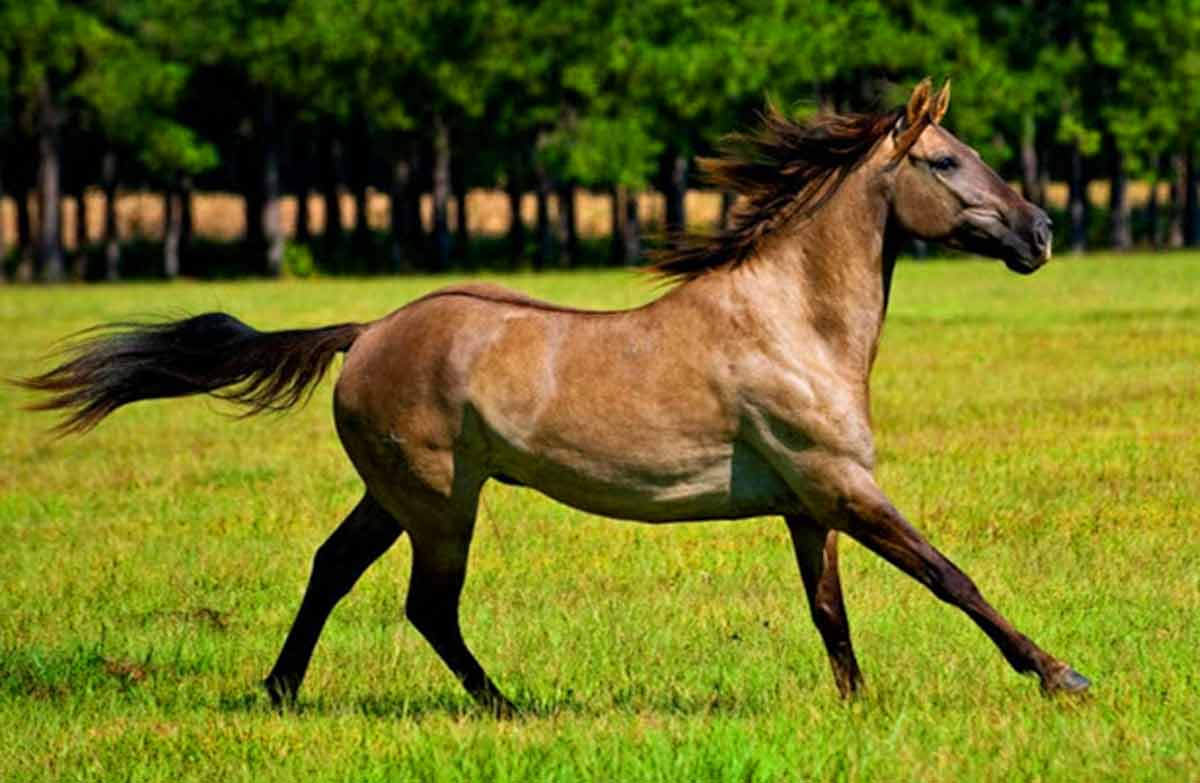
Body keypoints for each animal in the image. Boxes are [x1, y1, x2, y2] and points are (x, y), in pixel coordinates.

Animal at [18, 79, 1089, 714]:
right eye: (945, 161)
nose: (1040, 233)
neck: (793, 323)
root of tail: (365, 334)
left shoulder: (809, 504)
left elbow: (829, 610)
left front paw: (856, 705)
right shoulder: (841, 488)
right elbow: (951, 576)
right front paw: (1061, 674)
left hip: (393, 495)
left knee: (332, 568)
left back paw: (281, 691)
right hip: (441, 503)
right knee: (427, 605)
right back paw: (506, 707)